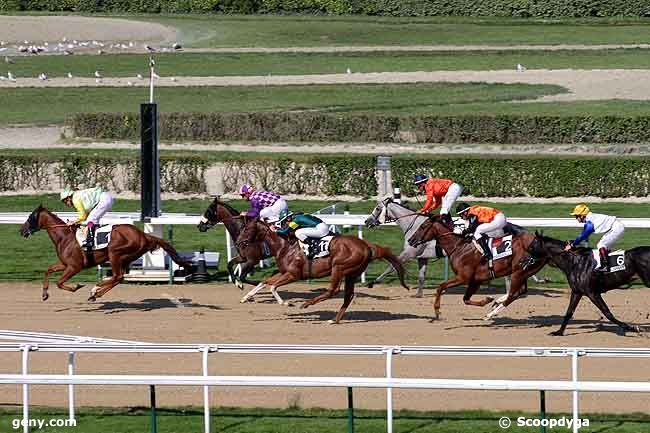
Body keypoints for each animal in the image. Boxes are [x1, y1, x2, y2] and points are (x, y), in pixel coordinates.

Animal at [19, 205, 192, 300]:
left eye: (30, 217)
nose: (22, 231)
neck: (64, 236)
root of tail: (144, 235)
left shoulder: (74, 267)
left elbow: (60, 282)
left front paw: (77, 286)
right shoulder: (64, 264)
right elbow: (48, 271)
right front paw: (44, 294)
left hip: (115, 253)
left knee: (117, 276)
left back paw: (95, 290)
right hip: (126, 257)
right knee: (119, 277)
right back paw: (96, 292)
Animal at [234, 219, 404, 324]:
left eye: (247, 228)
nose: (238, 242)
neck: (284, 246)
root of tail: (367, 246)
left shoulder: (294, 274)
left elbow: (273, 287)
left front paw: (287, 303)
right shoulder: (283, 272)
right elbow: (265, 282)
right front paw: (245, 297)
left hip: (339, 268)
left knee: (333, 290)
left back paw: (307, 304)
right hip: (352, 273)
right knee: (348, 296)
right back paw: (334, 320)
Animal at [408, 214, 544, 318]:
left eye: (422, 226)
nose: (410, 240)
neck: (459, 247)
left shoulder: (463, 277)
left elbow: (441, 287)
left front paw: (437, 311)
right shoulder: (476, 280)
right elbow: (465, 299)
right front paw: (487, 300)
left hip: (519, 272)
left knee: (514, 293)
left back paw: (493, 310)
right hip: (523, 272)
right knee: (520, 291)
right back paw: (496, 303)